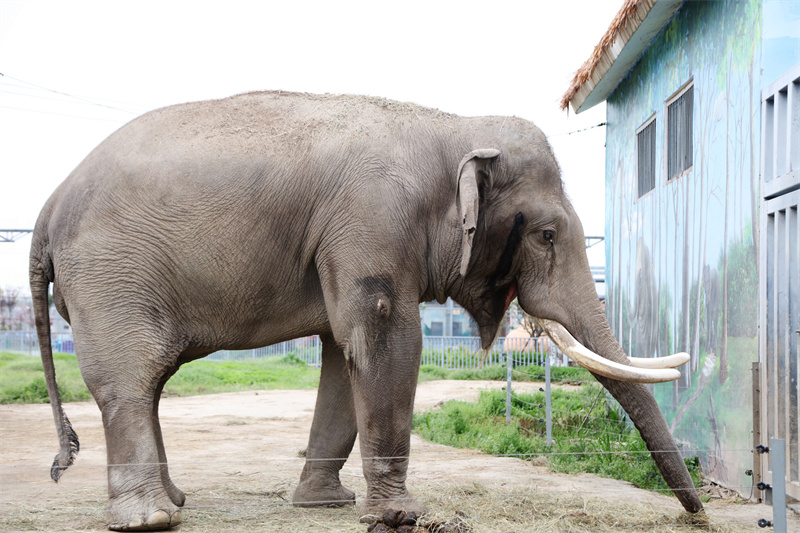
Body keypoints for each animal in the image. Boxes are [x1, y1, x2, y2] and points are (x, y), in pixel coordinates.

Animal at [31, 90, 704, 528]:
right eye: (545, 236)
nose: (698, 514)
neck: (453, 130)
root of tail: (49, 205)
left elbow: (342, 354)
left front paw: (326, 506)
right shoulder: (373, 221)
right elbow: (388, 338)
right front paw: (405, 517)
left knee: (150, 380)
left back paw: (175, 502)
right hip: (111, 274)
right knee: (130, 377)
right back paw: (150, 518)